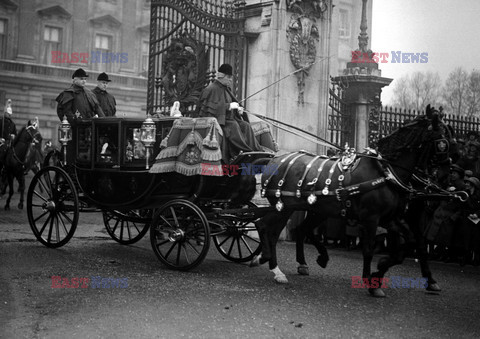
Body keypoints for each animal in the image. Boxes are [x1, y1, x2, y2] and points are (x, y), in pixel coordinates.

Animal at [251, 105, 458, 298]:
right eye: (444, 143)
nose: (446, 179)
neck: (385, 171)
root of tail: (275, 159)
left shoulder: (392, 218)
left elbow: (410, 244)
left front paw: (381, 270)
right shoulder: (371, 218)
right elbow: (369, 249)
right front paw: (371, 281)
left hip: (309, 209)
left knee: (289, 230)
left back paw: (294, 263)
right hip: (284, 207)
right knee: (265, 227)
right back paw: (270, 262)